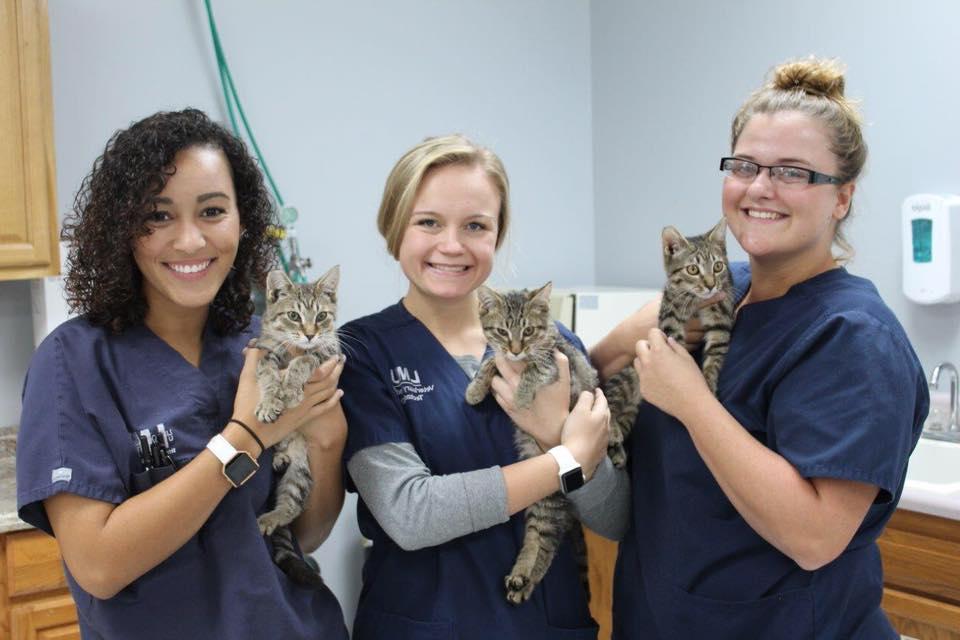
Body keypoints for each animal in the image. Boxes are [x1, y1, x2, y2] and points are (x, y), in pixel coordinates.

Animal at [253, 264, 344, 592]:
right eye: (293, 315)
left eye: (321, 316)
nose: (309, 334)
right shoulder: (262, 352)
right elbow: (267, 371)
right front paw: (269, 401)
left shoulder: (331, 352)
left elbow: (306, 359)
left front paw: (291, 388)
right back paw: (279, 455)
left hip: (301, 473)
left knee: (292, 505)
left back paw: (272, 516)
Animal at [466, 284, 600, 604]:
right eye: (502, 331)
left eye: (528, 331)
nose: (516, 350)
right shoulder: (501, 356)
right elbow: (491, 361)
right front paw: (475, 388)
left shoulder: (557, 362)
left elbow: (534, 368)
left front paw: (521, 396)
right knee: (535, 537)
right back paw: (521, 575)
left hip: (552, 501)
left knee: (547, 541)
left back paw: (527, 578)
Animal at [608, 220, 736, 464]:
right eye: (693, 270)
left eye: (718, 267)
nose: (710, 285)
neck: (696, 300)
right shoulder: (669, 314)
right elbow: (674, 340)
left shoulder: (721, 320)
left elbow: (715, 356)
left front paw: (707, 383)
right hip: (625, 380)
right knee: (604, 404)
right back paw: (611, 430)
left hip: (630, 413)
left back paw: (617, 450)